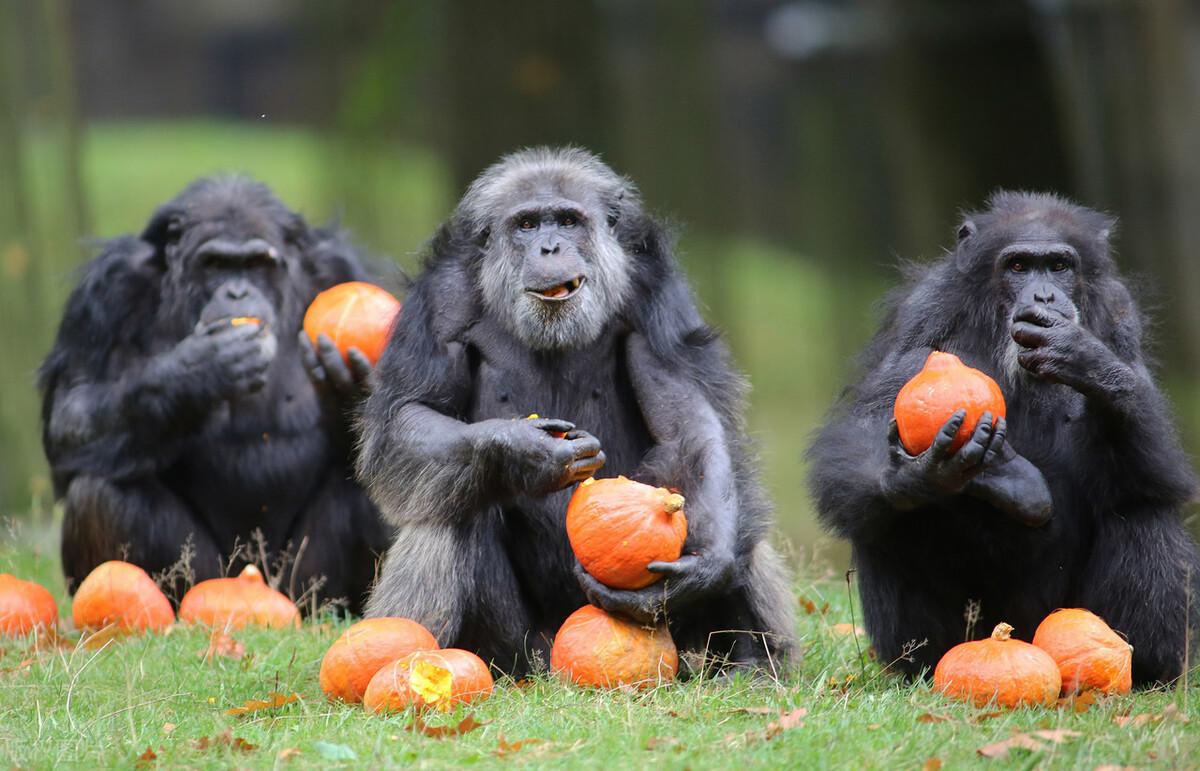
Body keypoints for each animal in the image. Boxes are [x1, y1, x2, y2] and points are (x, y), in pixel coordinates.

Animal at [39, 175, 388, 612]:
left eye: (255, 264)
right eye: (216, 264)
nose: (237, 293)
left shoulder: (342, 268)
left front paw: (349, 388)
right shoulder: (107, 292)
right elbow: (72, 412)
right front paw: (200, 369)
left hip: (303, 584)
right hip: (206, 578)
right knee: (100, 494)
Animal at [355, 147, 796, 677]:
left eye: (567, 220)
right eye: (526, 224)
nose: (549, 246)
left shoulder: (655, 296)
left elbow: (689, 423)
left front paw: (702, 567)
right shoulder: (441, 301)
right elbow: (411, 412)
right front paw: (523, 451)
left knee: (740, 518)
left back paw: (756, 663)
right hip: (517, 652)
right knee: (449, 499)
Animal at [806, 189, 1200, 682]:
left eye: (1058, 265)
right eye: (1018, 266)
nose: (1044, 293)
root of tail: (1019, 633)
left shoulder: (1120, 316)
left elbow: (1159, 468)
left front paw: (1084, 357)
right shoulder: (925, 309)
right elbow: (864, 424)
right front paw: (917, 475)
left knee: (1142, 509)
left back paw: (1146, 667)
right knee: (889, 519)